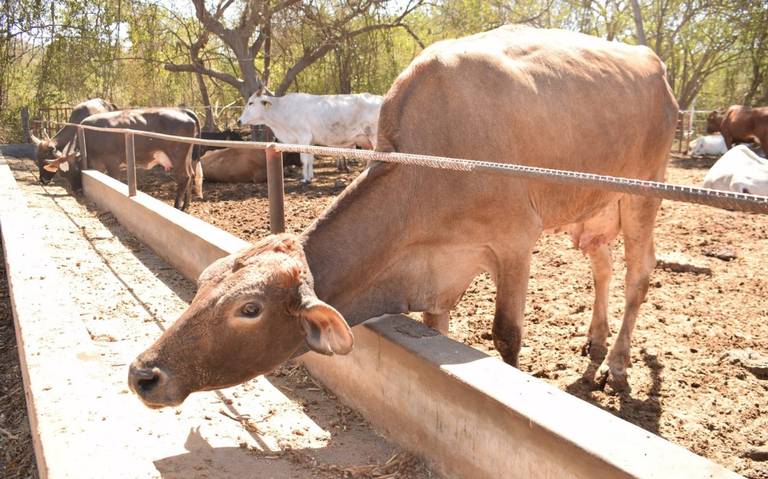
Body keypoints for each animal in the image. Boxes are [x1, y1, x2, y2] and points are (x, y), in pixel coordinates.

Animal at [44, 109, 201, 210]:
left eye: (77, 169)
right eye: (63, 174)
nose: (77, 191)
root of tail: (184, 111)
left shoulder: (112, 162)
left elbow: (114, 179)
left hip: (177, 155)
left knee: (184, 177)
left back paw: (177, 207)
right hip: (186, 156)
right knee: (191, 174)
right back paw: (186, 205)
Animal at [238, 92, 382, 184]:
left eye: (251, 103)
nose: (239, 121)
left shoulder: (303, 137)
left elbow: (304, 159)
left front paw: (305, 179)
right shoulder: (311, 141)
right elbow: (310, 159)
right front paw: (311, 176)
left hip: (374, 135)